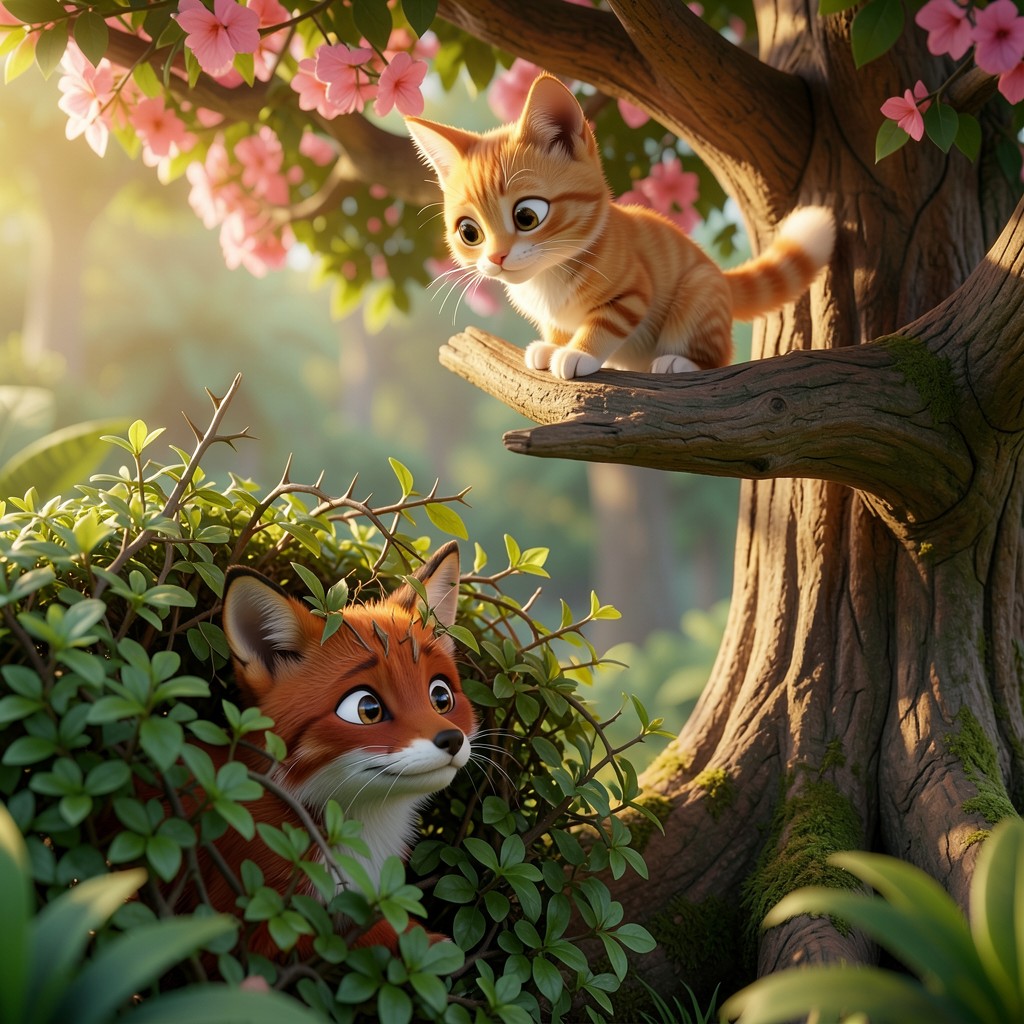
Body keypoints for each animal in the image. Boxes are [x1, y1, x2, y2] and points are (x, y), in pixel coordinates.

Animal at [178, 541, 475, 957]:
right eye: (367, 709)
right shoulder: (255, 926)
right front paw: (422, 944)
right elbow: (356, 937)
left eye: (441, 697)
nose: (452, 739)